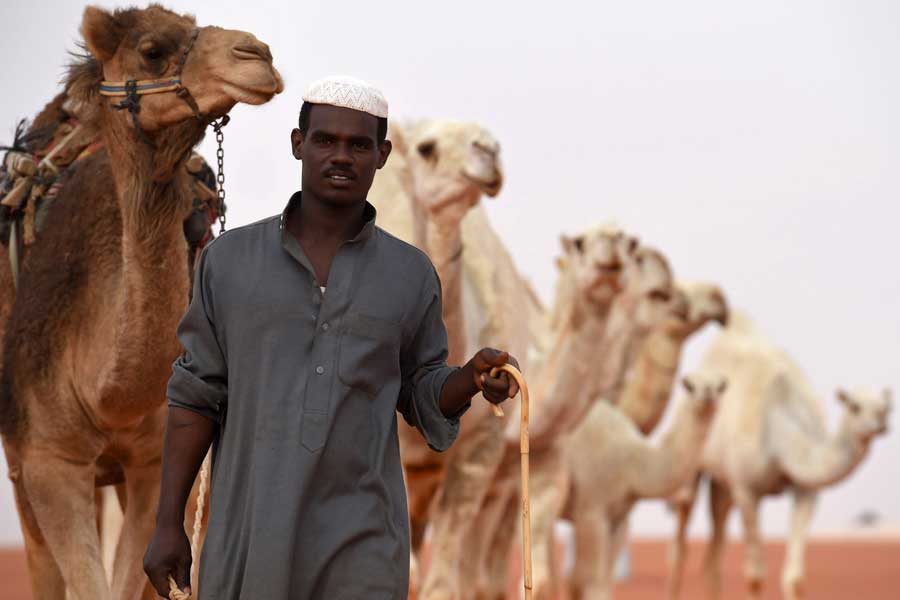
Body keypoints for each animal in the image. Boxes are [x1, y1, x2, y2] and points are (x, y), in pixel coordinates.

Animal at [568, 372, 724, 596]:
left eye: (721, 386)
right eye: (690, 386)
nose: (708, 393)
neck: (632, 461)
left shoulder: (618, 516)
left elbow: (602, 580)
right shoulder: (590, 509)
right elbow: (586, 579)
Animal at [668, 314, 892, 600]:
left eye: (886, 408)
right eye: (854, 407)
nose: (881, 424)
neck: (778, 425)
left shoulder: (806, 491)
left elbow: (795, 578)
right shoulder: (747, 490)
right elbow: (755, 576)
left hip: (722, 484)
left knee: (713, 550)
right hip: (691, 460)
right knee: (681, 532)